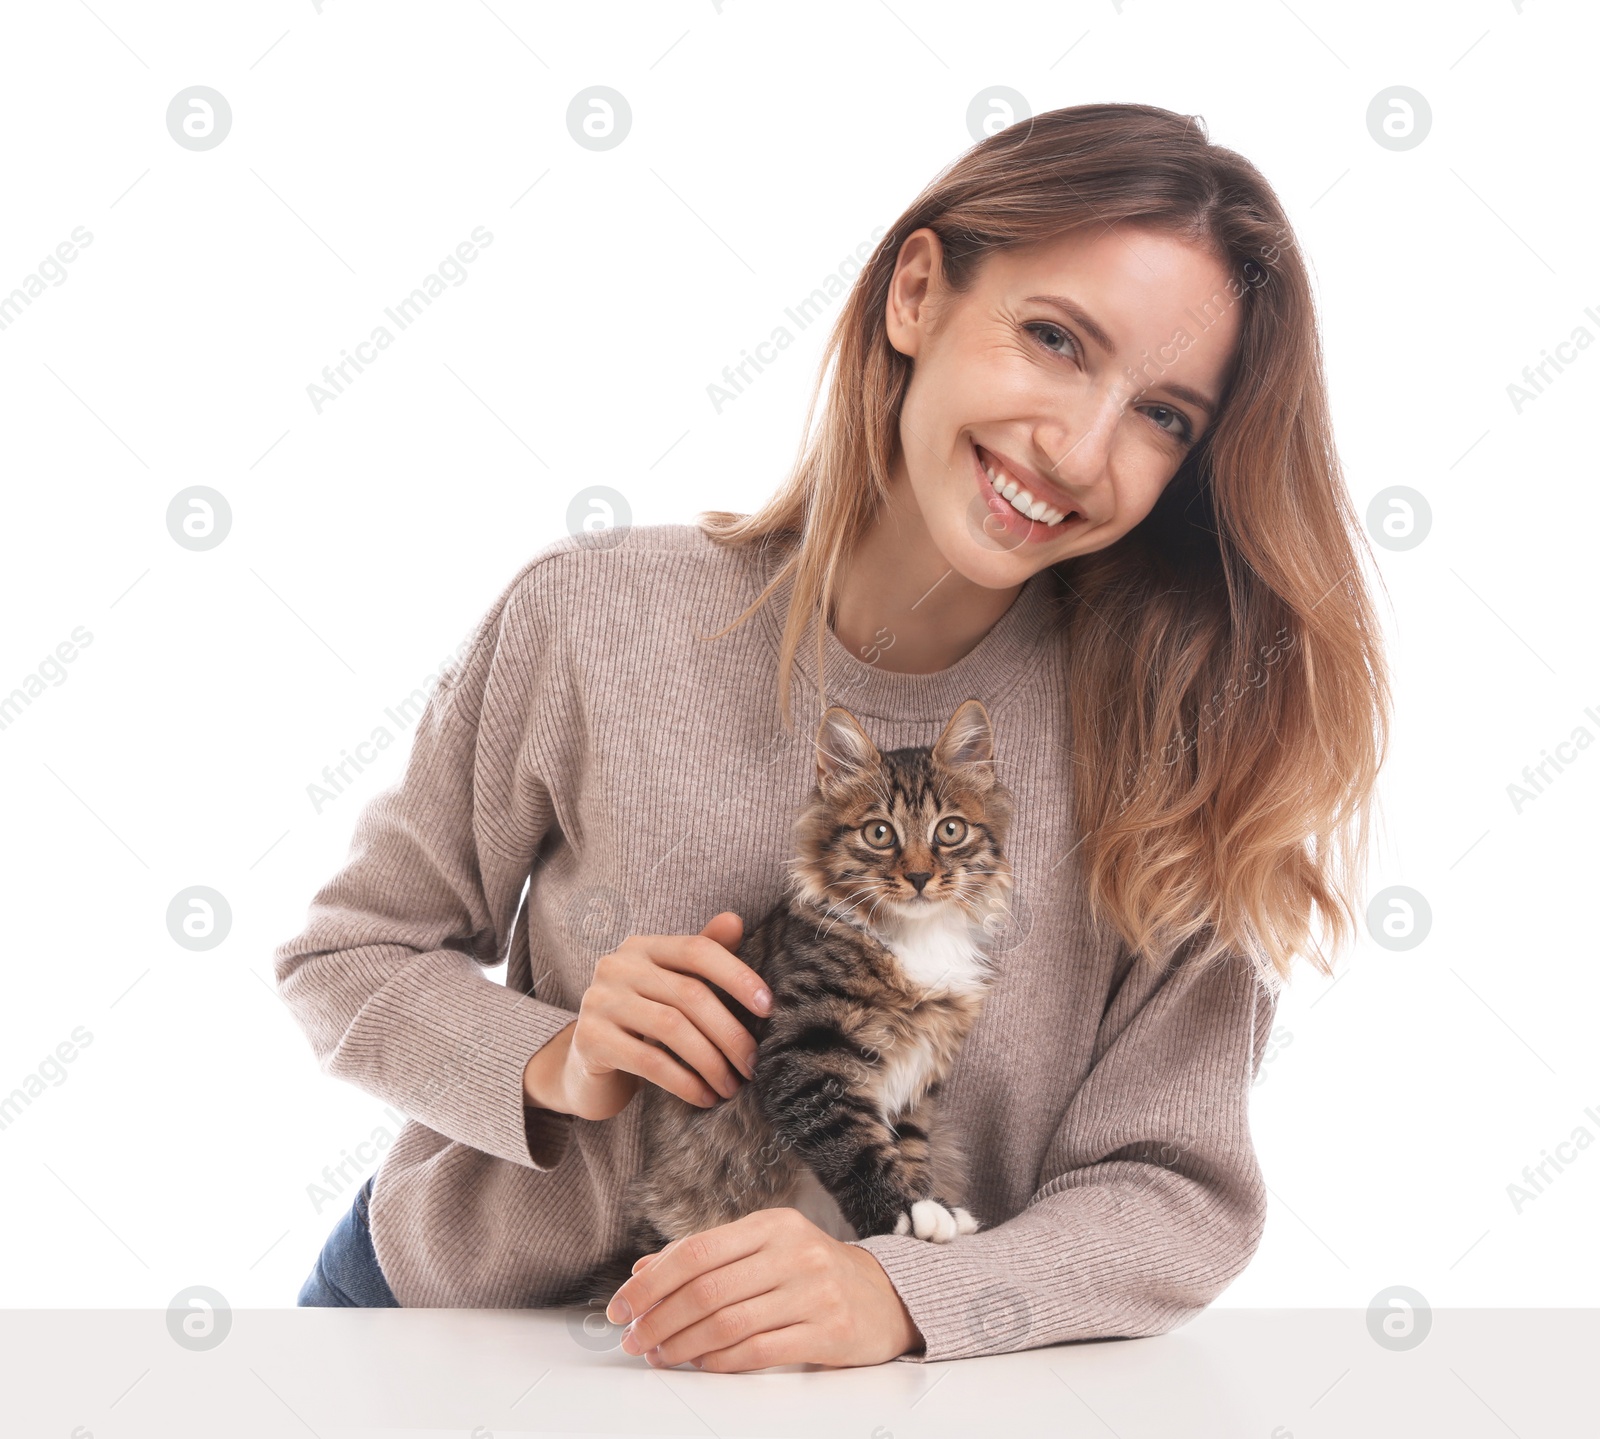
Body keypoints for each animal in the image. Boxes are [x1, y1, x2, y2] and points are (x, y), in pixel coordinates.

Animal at [550, 691, 1011, 1312]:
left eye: (951, 830)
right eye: (880, 834)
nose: (918, 877)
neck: (914, 937)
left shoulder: (920, 1078)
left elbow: (910, 1144)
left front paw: (928, 1204)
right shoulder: (805, 1052)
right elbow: (853, 1145)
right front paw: (902, 1215)